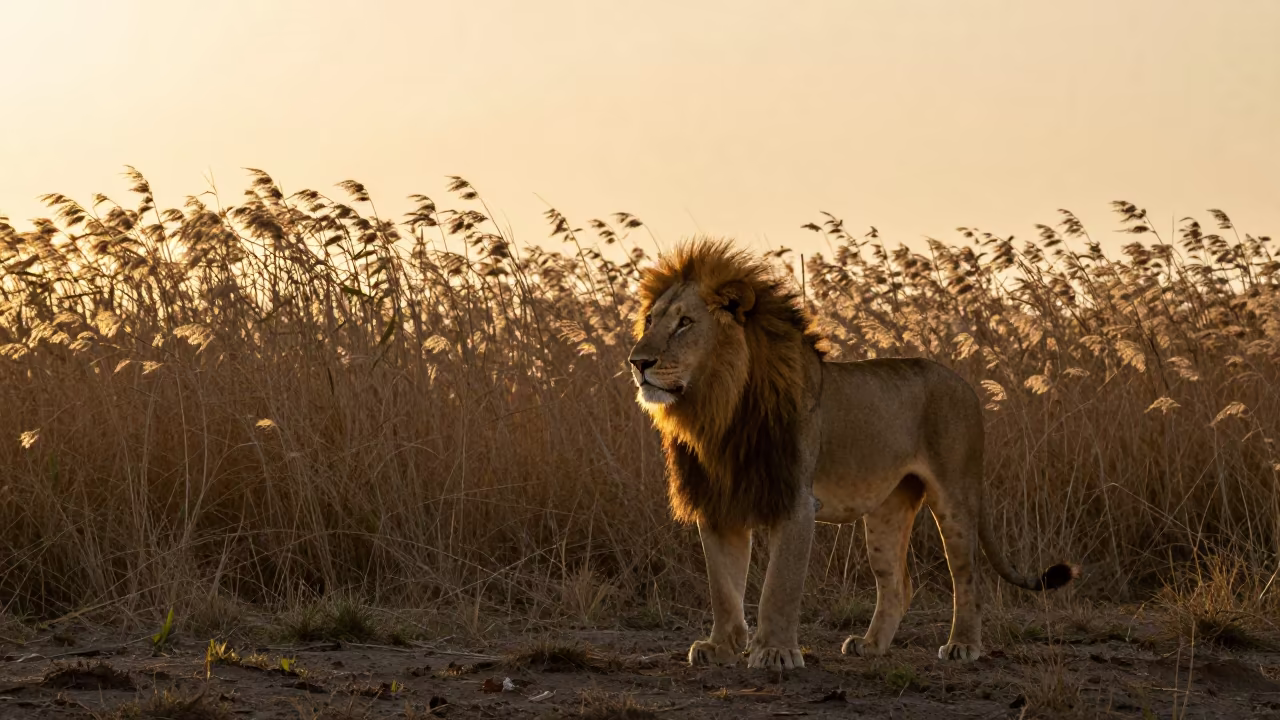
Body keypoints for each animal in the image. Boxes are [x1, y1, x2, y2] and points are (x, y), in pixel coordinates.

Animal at [627, 238, 1078, 671]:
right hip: (887, 510)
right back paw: (870, 645)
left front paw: (775, 652)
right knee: (898, 584)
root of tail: (964, 382)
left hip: (956, 496)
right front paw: (720, 647)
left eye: (685, 323)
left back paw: (962, 645)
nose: (637, 362)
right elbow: (722, 586)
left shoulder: (796, 501)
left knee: (968, 576)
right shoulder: (719, 502)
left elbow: (779, 586)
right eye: (650, 320)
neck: (718, 408)